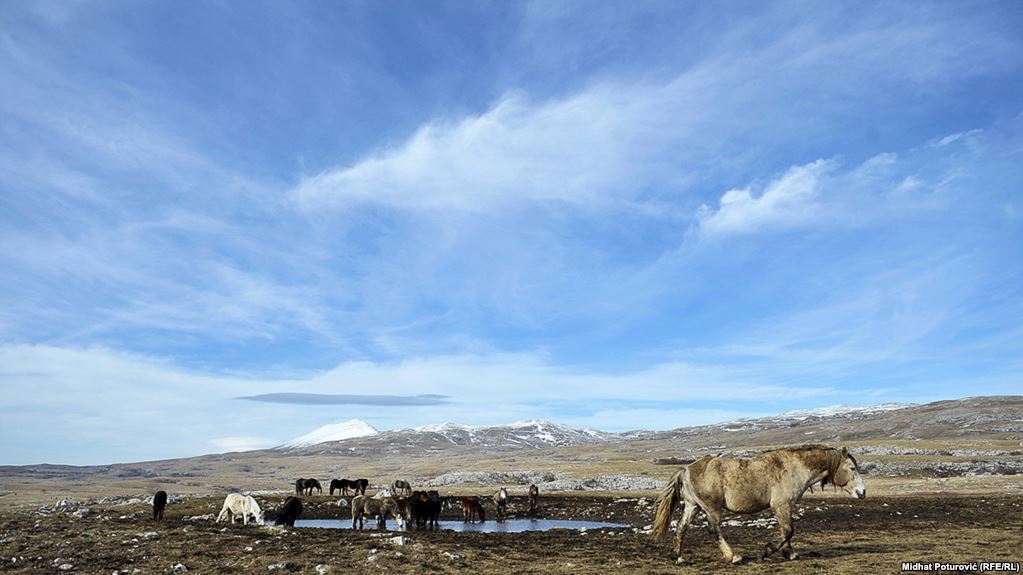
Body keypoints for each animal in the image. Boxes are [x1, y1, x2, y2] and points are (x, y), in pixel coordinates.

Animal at [650, 444, 867, 560]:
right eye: (852, 468)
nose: (863, 492)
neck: (794, 468)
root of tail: (686, 469)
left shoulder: (784, 507)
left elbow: (786, 531)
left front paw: (790, 554)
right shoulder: (781, 505)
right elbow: (788, 531)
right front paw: (767, 551)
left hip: (693, 506)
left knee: (681, 528)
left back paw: (678, 557)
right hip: (711, 508)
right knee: (714, 530)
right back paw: (733, 556)